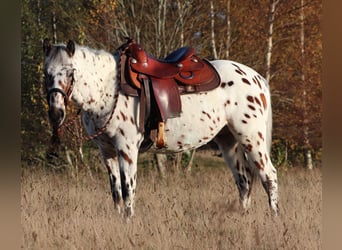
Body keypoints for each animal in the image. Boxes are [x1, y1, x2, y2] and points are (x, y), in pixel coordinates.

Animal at [42, 38, 278, 217]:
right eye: (46, 73)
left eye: (70, 72)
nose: (55, 113)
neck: (109, 89)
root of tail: (256, 78)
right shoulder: (106, 150)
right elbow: (116, 192)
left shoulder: (127, 149)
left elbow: (128, 191)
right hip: (228, 140)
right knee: (244, 180)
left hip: (251, 138)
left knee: (269, 177)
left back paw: (274, 219)